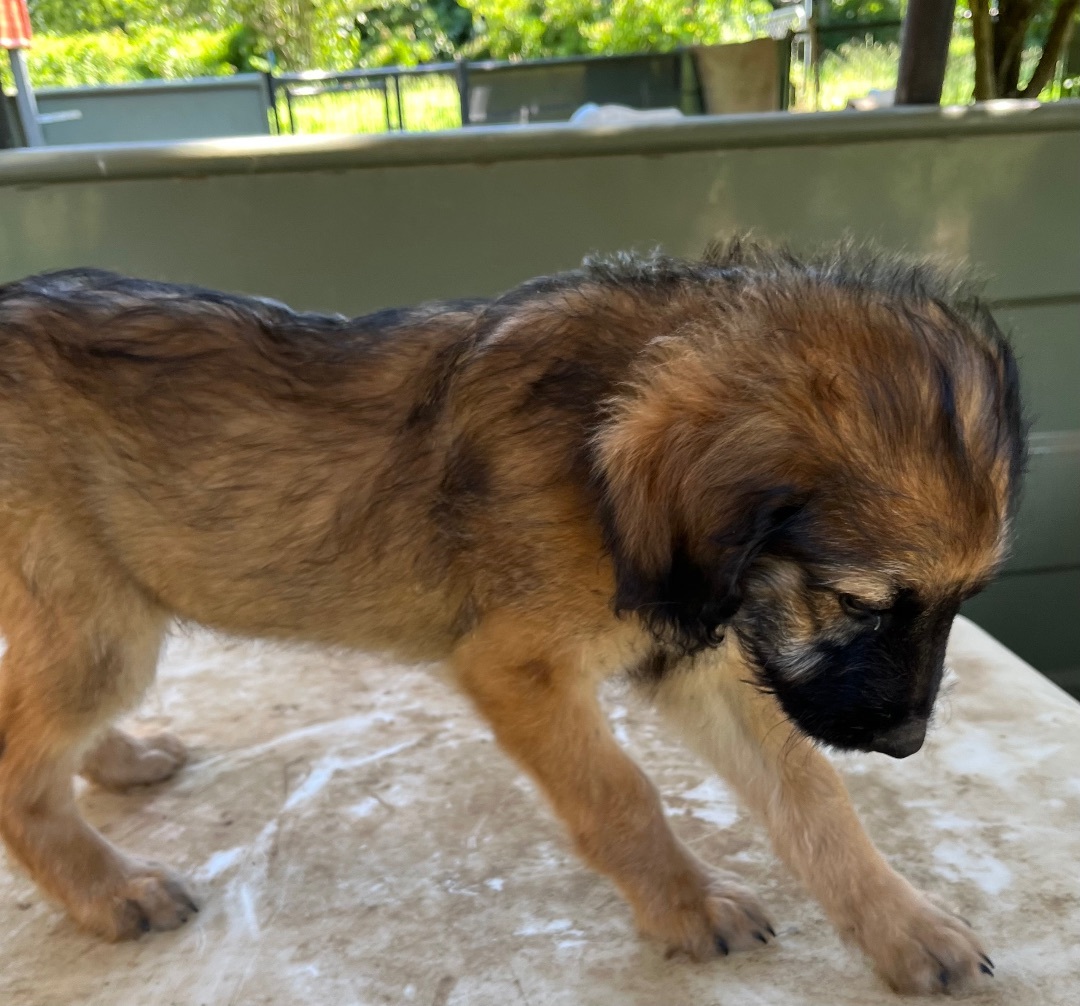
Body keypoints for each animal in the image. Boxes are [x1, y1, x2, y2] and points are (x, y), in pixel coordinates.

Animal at [0, 242, 1019, 989]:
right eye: (859, 602)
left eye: (961, 604)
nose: (908, 744)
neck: (596, 448)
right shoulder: (517, 668)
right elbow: (621, 795)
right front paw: (687, 906)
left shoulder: (709, 657)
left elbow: (815, 801)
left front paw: (904, 928)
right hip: (100, 626)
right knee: (20, 764)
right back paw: (110, 890)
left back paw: (120, 758)